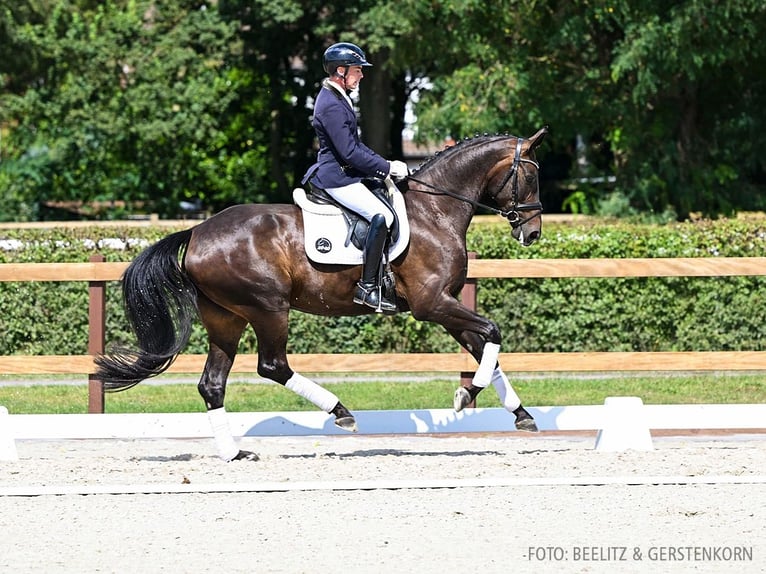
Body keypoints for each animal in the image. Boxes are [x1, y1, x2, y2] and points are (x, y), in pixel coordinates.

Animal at [96, 127, 548, 464]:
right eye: (530, 176)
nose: (532, 233)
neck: (434, 212)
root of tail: (196, 232)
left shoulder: (447, 305)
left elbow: (487, 350)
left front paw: (520, 415)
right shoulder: (431, 304)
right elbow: (493, 332)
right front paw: (465, 396)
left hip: (226, 317)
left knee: (212, 384)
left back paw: (234, 453)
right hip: (268, 308)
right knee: (272, 365)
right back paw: (341, 413)